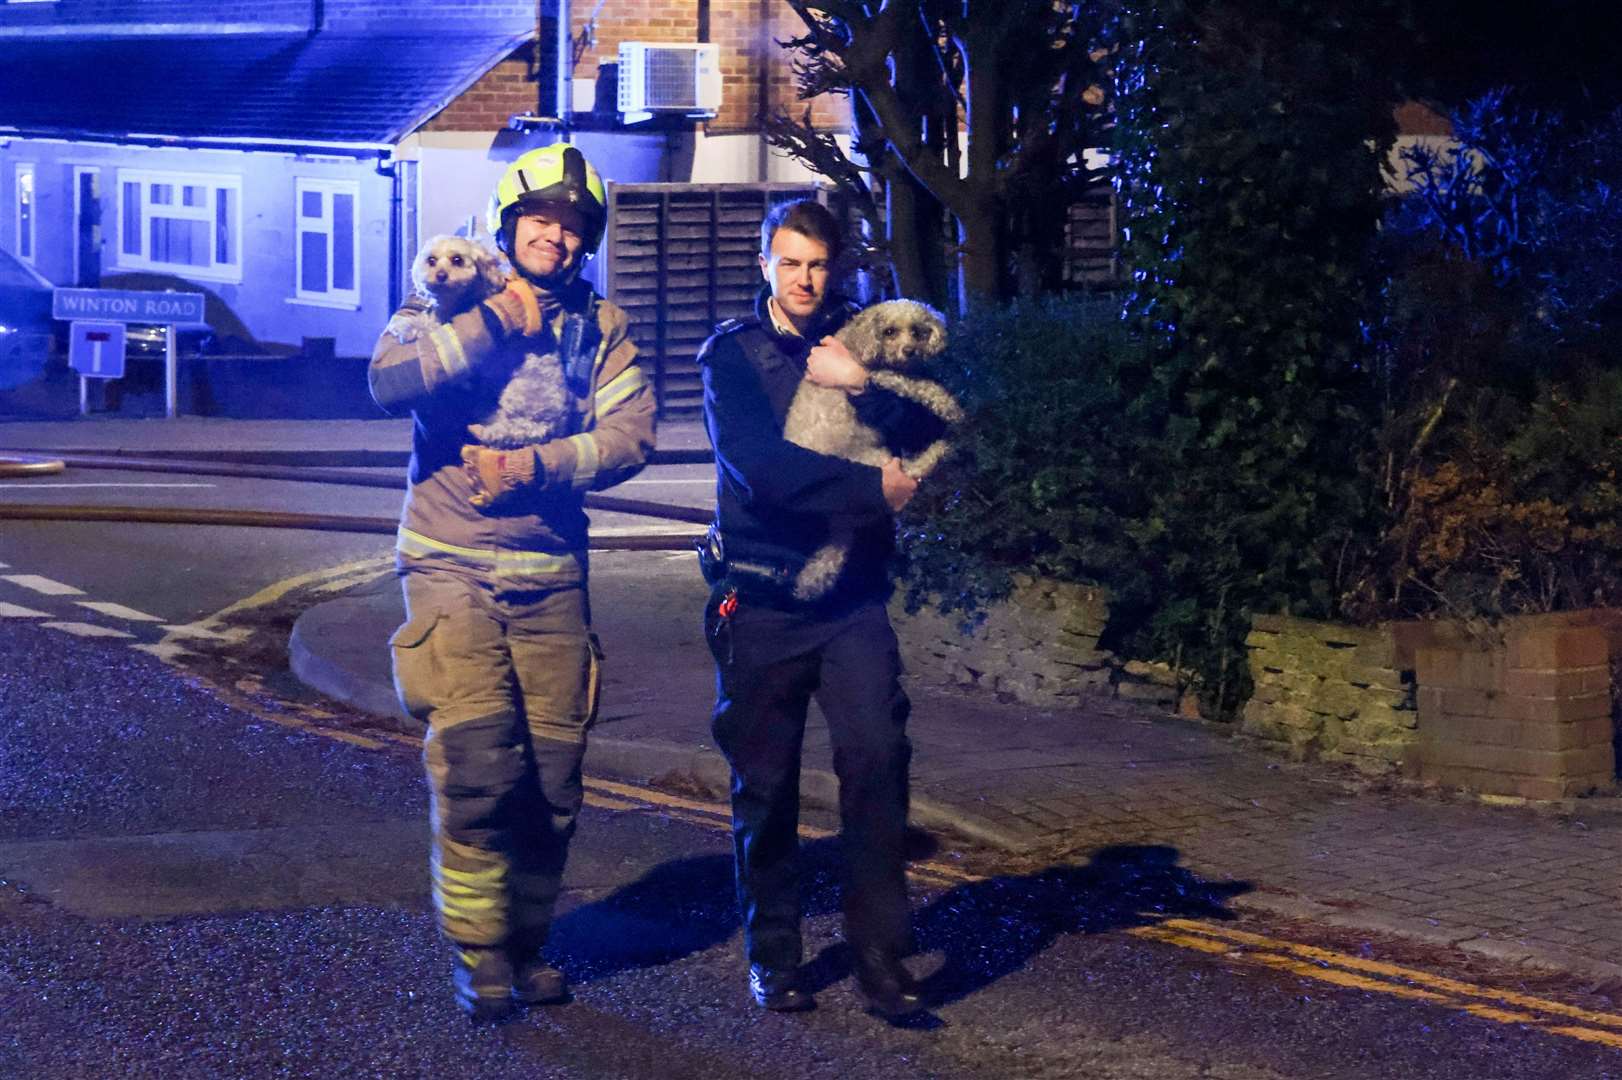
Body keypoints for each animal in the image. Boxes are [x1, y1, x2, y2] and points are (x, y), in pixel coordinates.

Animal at [778, 296, 953, 596]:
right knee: (911, 471)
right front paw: (949, 404)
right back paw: (940, 450)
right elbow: (919, 384)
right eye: (890, 331)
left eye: (917, 331)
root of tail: (838, 524)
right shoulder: (880, 376)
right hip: (877, 461)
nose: (909, 351)